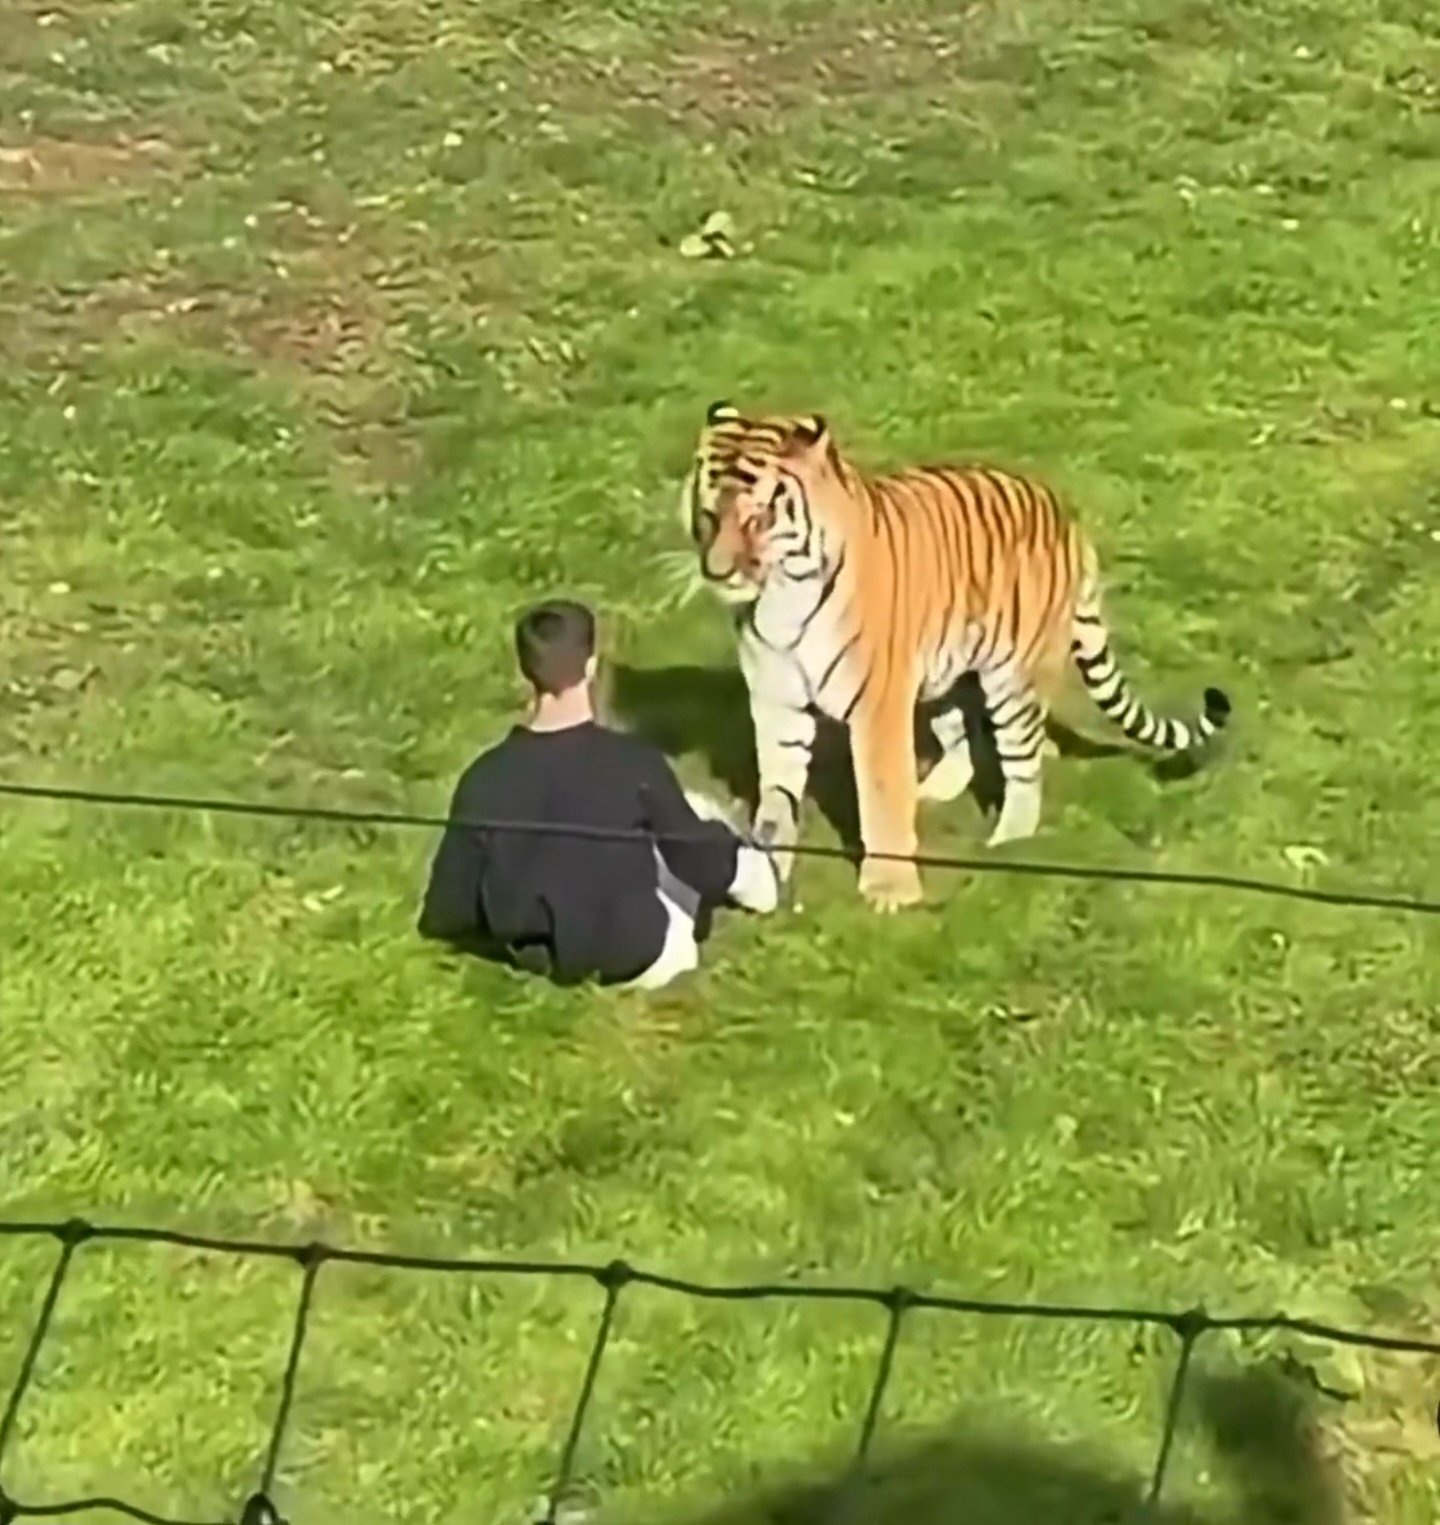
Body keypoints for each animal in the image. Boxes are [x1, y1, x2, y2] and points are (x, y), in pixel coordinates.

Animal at [679, 400, 1232, 912]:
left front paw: (890, 891)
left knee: (1023, 761)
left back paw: (1009, 840)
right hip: (945, 669)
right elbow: (777, 792)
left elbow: (880, 794)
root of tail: (1064, 515)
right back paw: (934, 790)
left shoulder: (877, 704)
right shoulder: (777, 702)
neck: (780, 598)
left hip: (1012, 681)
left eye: (759, 516)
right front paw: (768, 869)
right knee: (961, 732)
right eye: (708, 514)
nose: (717, 572)